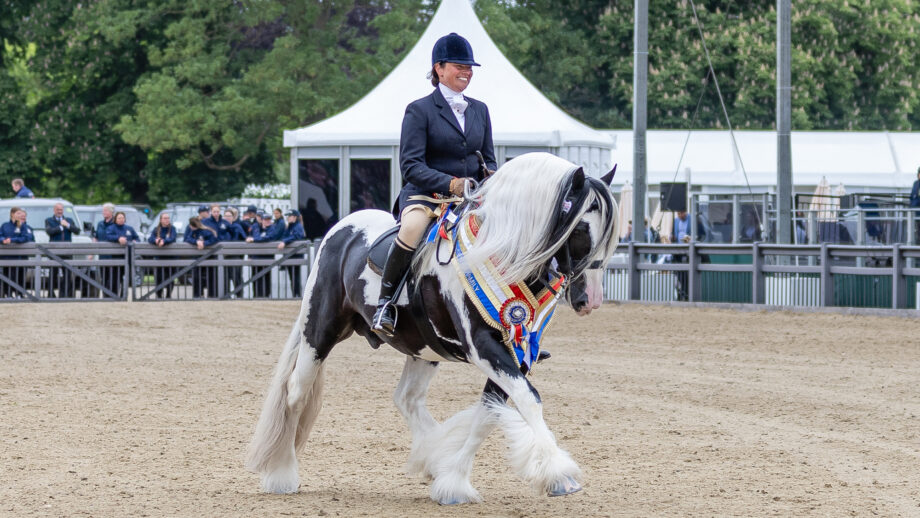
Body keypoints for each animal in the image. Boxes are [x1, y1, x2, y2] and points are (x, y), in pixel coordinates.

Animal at [245, 152, 619, 504]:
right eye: (581, 229)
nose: (590, 299)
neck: (499, 252)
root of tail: (342, 228)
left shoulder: (515, 353)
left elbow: (488, 415)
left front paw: (453, 482)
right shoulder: (484, 347)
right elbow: (528, 400)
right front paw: (559, 473)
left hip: (422, 348)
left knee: (406, 398)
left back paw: (433, 456)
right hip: (319, 332)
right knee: (296, 392)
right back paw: (282, 474)